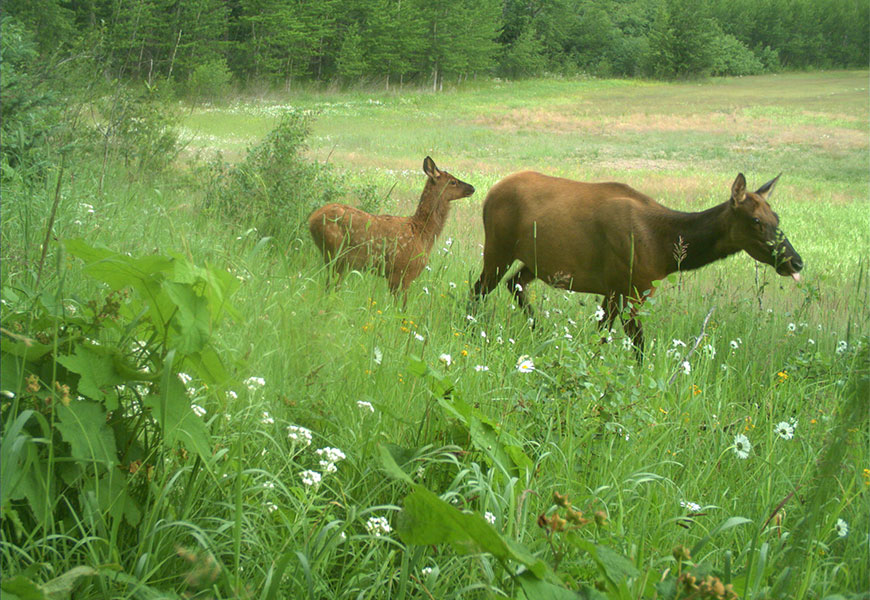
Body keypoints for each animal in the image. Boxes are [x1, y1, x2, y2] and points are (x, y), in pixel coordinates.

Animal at [310, 157, 476, 300]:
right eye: (453, 181)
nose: (472, 187)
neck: (422, 232)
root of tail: (311, 220)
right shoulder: (402, 271)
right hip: (336, 253)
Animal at [474, 170, 808, 356]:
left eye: (776, 217)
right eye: (755, 221)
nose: (796, 262)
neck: (664, 249)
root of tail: (489, 192)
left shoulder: (615, 290)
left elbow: (603, 336)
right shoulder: (629, 288)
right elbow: (637, 345)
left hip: (537, 261)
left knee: (514, 284)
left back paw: (540, 330)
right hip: (498, 247)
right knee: (479, 288)